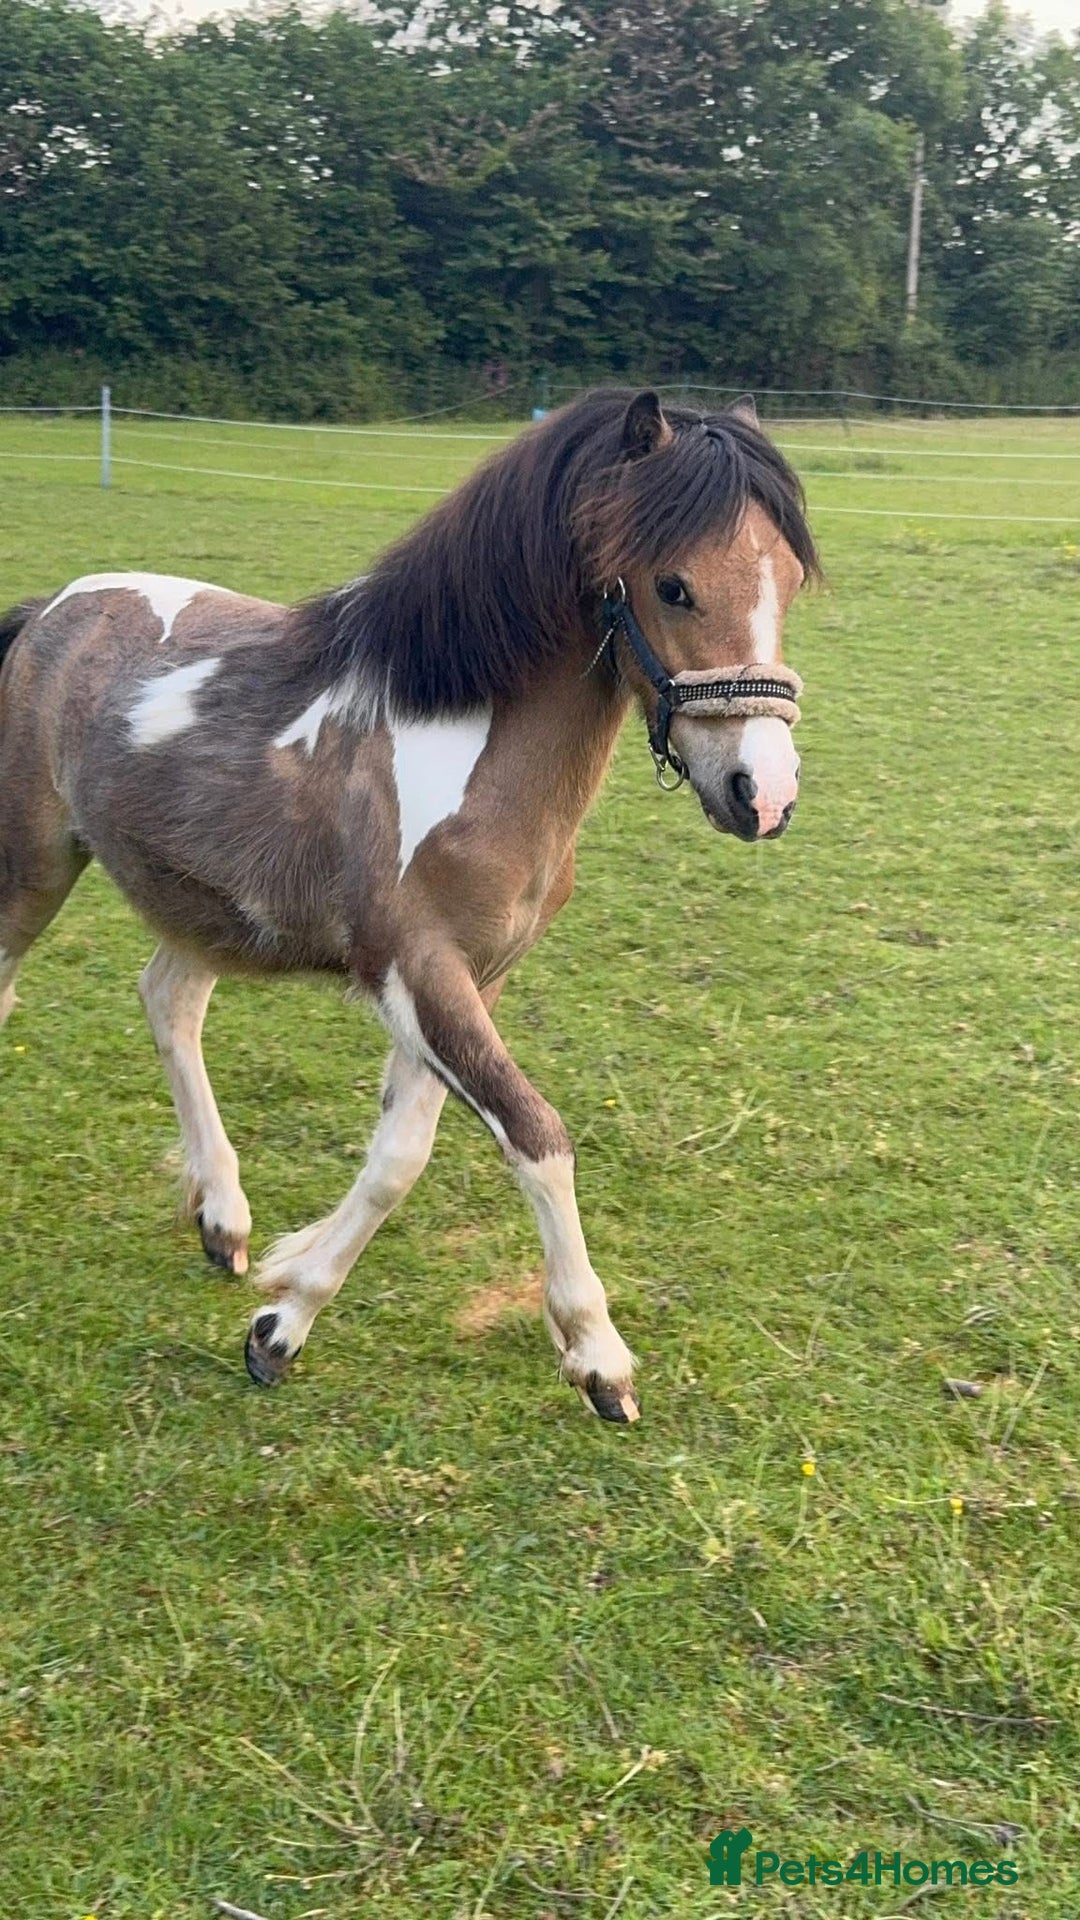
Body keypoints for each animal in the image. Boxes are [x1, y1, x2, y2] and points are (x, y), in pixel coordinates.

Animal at [0, 388, 817, 1423]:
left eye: (788, 580)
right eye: (673, 587)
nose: (764, 793)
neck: (458, 740)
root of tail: (50, 609)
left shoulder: (472, 980)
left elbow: (400, 1155)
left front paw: (284, 1309)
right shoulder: (415, 972)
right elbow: (537, 1138)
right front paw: (599, 1356)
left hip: (205, 904)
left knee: (168, 1002)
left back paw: (223, 1221)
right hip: (35, 866)